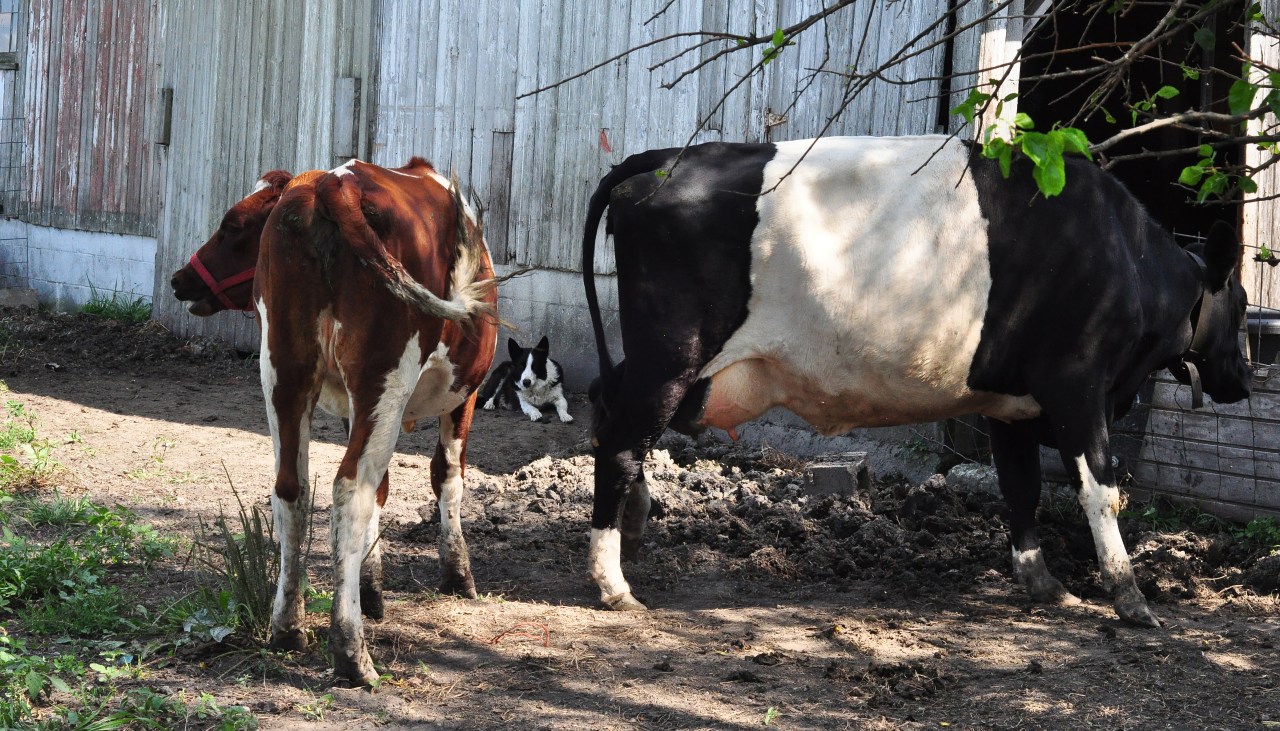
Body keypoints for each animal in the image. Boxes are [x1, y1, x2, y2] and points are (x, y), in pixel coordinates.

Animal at [171, 158, 499, 685]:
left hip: (281, 370)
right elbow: (445, 477)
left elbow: (385, 491)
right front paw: (458, 576)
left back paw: (288, 627)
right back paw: (350, 651)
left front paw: (371, 589)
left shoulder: (350, 406)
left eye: (234, 225)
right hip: (385, 375)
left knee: (292, 488)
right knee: (350, 487)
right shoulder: (461, 395)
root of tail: (331, 182)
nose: (181, 279)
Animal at [580, 134, 1252, 628]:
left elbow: (1022, 487)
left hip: (663, 363)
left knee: (605, 404)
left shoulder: (1011, 402)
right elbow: (1099, 489)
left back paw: (634, 525)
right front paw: (1130, 597)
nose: (1246, 380)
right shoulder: (1079, 385)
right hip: (672, 355)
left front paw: (1042, 581)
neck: (1126, 255)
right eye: (1244, 306)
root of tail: (663, 157)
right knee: (620, 443)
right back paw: (613, 583)